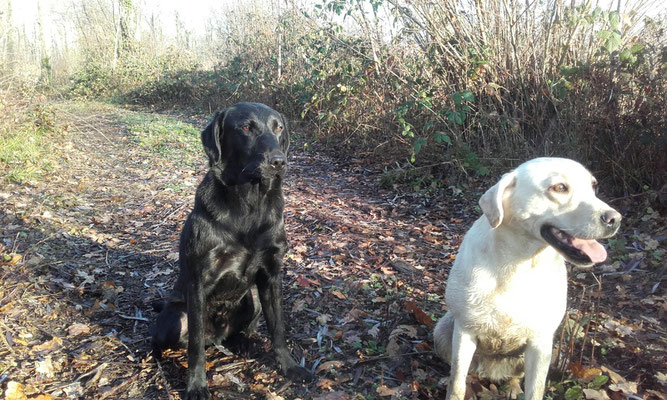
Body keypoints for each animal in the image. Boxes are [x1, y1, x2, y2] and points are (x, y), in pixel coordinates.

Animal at [154, 102, 316, 396]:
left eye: (278, 128)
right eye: (245, 127)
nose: (279, 161)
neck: (249, 204)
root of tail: (216, 337)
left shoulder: (271, 275)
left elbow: (278, 328)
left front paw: (289, 367)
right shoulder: (197, 282)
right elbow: (195, 345)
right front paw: (196, 385)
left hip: (252, 302)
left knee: (240, 331)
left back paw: (242, 342)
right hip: (174, 319)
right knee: (166, 340)